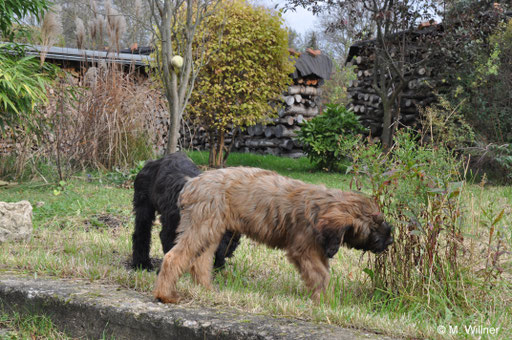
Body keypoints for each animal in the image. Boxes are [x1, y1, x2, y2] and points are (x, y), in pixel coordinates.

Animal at [152, 167, 392, 302]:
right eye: (374, 225)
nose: (390, 239)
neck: (321, 207)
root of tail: (190, 183)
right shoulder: (304, 250)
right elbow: (321, 276)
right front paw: (326, 303)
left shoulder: (317, 251)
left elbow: (322, 274)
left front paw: (325, 301)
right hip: (202, 227)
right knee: (173, 257)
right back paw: (165, 295)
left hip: (210, 230)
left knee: (199, 261)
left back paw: (206, 289)